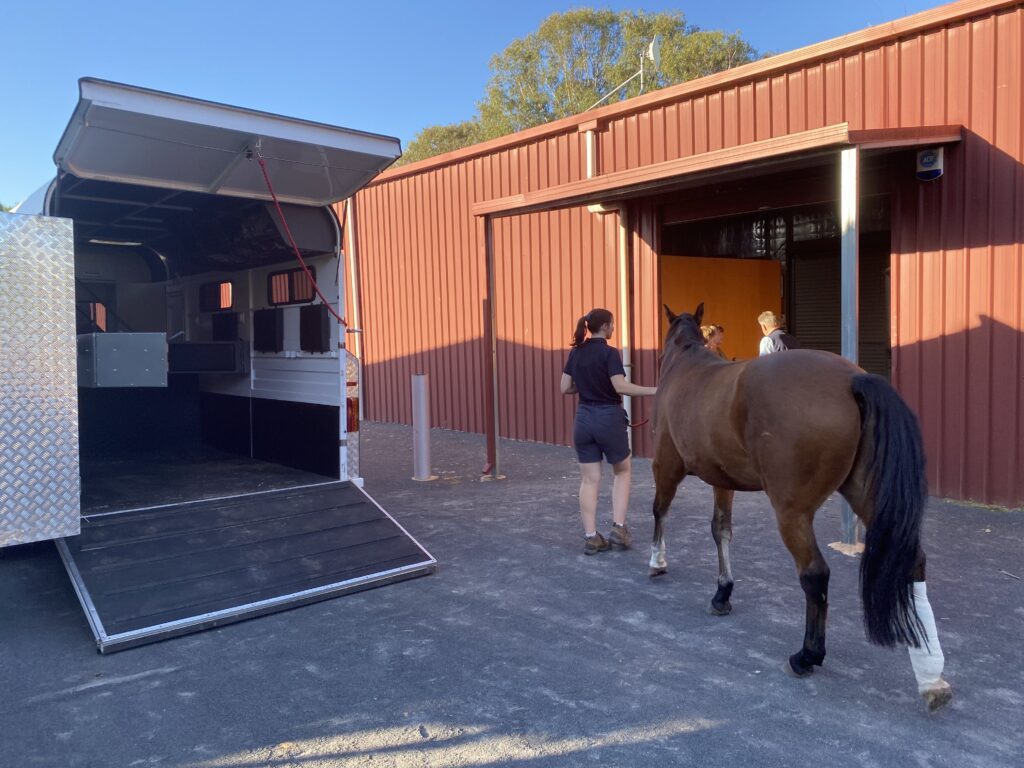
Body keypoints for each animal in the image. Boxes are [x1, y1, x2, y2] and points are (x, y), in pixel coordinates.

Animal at [650, 303, 952, 711]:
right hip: (864, 495)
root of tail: (851, 380)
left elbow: (660, 510)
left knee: (815, 574)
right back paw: (931, 675)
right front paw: (722, 593)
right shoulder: (722, 480)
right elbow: (720, 529)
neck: (687, 367)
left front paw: (657, 561)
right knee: (913, 563)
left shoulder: (666, 465)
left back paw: (807, 656)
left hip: (791, 512)